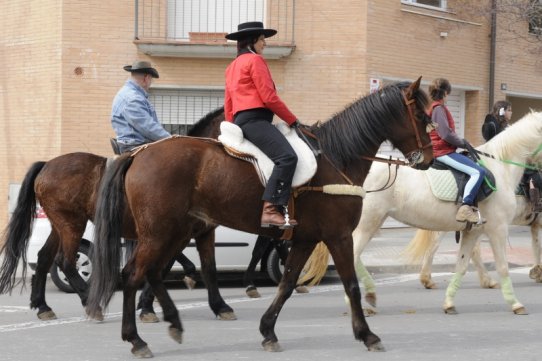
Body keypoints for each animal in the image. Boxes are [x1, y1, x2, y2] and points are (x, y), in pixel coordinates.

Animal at [0, 105, 228, 320]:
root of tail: (46, 165)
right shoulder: (171, 232)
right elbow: (166, 264)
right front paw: (147, 304)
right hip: (72, 224)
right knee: (65, 261)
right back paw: (90, 303)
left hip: (60, 225)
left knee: (44, 257)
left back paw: (43, 306)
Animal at [88, 77, 438, 356]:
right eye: (422, 115)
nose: (429, 159)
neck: (336, 157)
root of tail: (138, 153)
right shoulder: (338, 236)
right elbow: (350, 284)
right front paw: (367, 335)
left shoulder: (304, 239)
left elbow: (287, 282)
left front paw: (268, 330)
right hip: (159, 233)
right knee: (133, 274)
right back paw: (136, 339)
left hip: (172, 231)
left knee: (152, 272)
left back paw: (171, 322)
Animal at [352, 111, 542, 314]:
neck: (500, 168)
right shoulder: (498, 229)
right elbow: (503, 266)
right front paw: (516, 303)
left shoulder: (473, 232)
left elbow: (462, 265)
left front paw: (449, 303)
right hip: (367, 224)